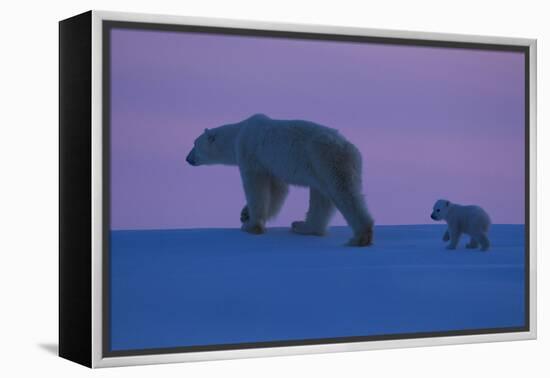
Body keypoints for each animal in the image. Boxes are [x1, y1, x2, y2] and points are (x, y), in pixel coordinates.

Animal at [187, 113, 376, 247]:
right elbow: (278, 190)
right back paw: (303, 226)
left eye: (194, 144)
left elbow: (256, 187)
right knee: (321, 196)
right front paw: (245, 214)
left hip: (326, 159)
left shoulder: (250, 153)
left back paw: (360, 237)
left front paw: (251, 225)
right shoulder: (272, 164)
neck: (239, 133)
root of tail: (350, 149)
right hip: (320, 167)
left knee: (343, 192)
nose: (187, 158)